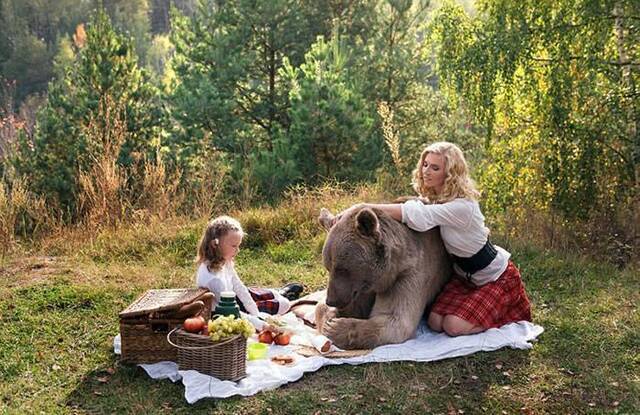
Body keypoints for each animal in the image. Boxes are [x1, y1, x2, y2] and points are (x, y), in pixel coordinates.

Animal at [316, 206, 450, 350]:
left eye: (342, 269)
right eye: (328, 267)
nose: (332, 300)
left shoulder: (408, 275)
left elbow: (395, 319)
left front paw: (336, 328)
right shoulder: (360, 289)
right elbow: (330, 307)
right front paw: (329, 318)